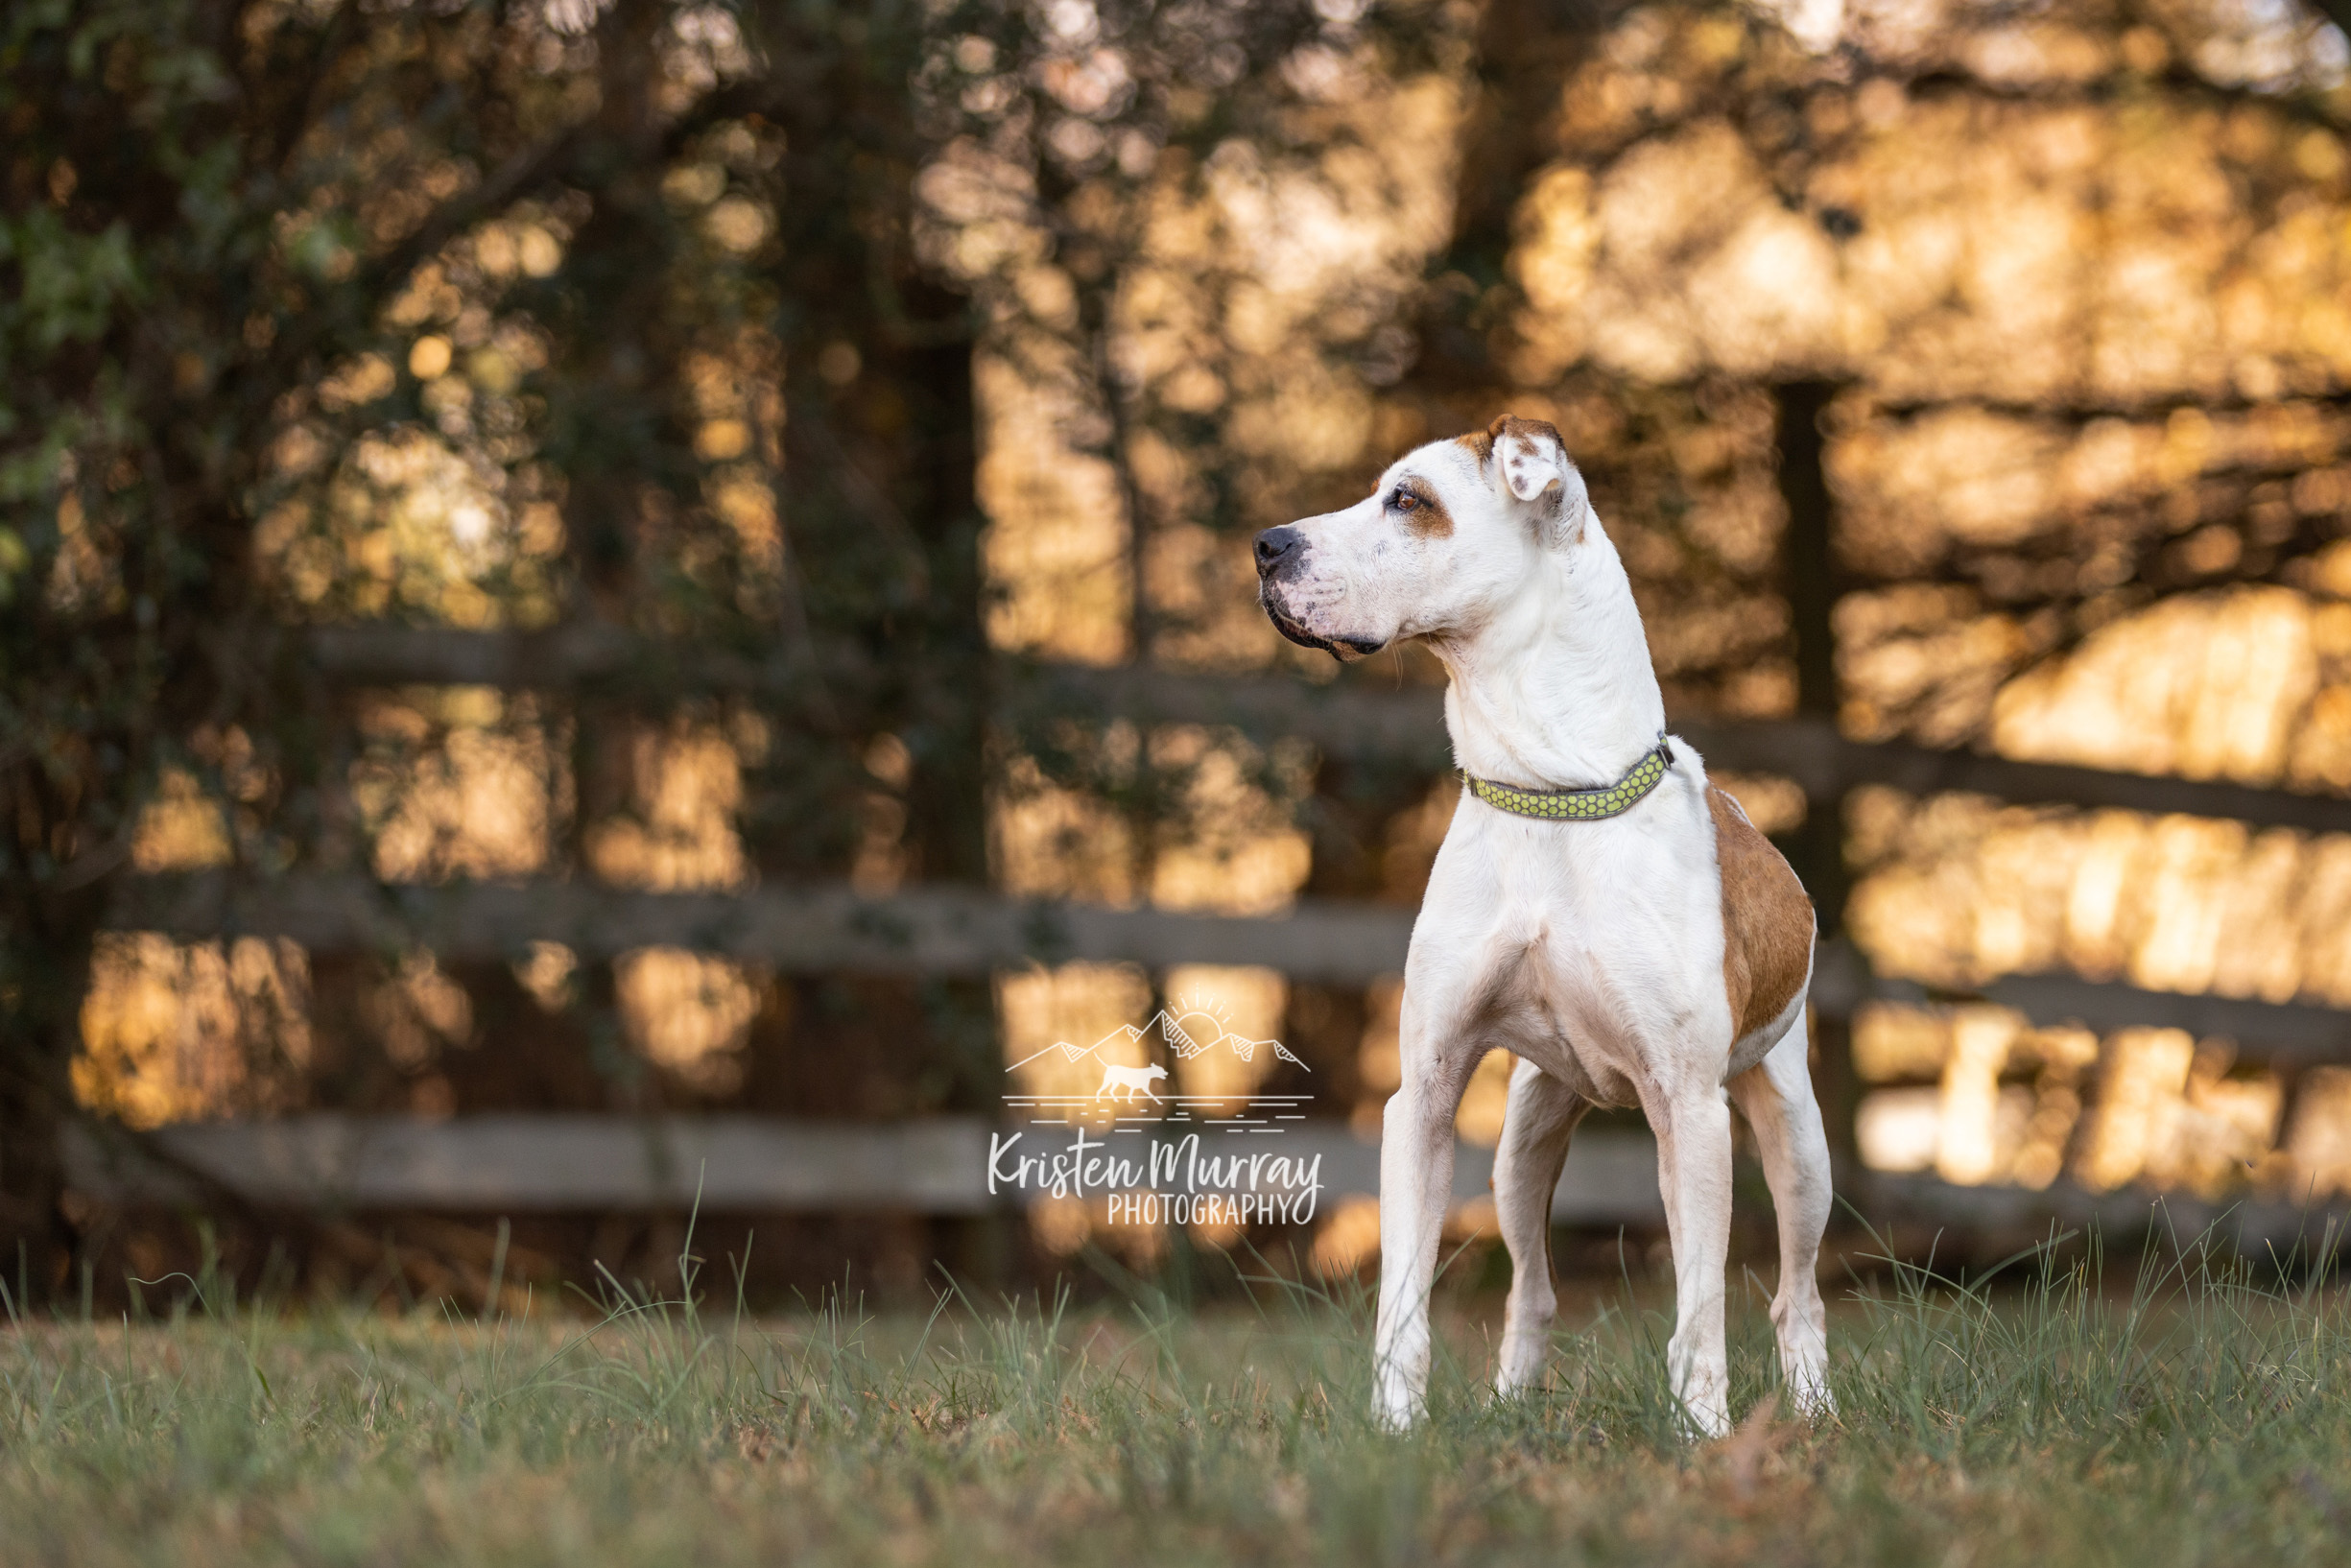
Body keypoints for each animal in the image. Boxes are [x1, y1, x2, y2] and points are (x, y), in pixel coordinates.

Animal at [1250, 414, 1834, 1438]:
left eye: (1410, 500)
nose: (1266, 546)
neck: (1549, 796)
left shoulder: (1691, 1108)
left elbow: (1701, 1305)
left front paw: (1704, 1435)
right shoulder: (1425, 1094)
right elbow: (1403, 1301)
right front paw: (1394, 1432)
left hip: (1795, 1142)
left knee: (1793, 1294)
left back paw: (1812, 1410)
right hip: (1523, 1141)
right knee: (1533, 1286)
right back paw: (1514, 1399)